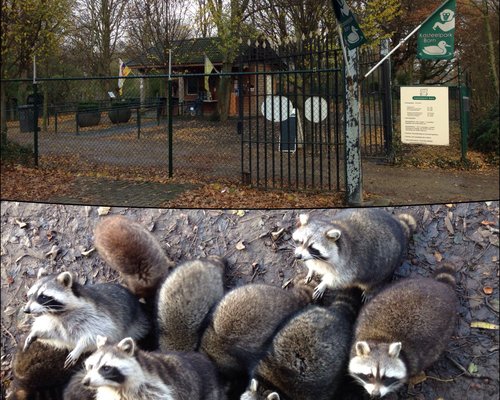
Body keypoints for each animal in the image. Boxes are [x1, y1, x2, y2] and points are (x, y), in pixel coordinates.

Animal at [22, 268, 150, 368]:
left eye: (43, 297)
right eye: (30, 295)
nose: (26, 310)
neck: (57, 314)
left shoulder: (96, 316)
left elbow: (98, 333)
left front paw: (79, 348)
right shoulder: (55, 323)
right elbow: (53, 333)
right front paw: (36, 333)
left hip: (136, 324)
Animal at [348, 264, 458, 398]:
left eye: (386, 378)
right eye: (369, 376)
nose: (376, 394)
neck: (380, 339)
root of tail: (440, 285)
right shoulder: (357, 332)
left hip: (447, 328)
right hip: (402, 285)